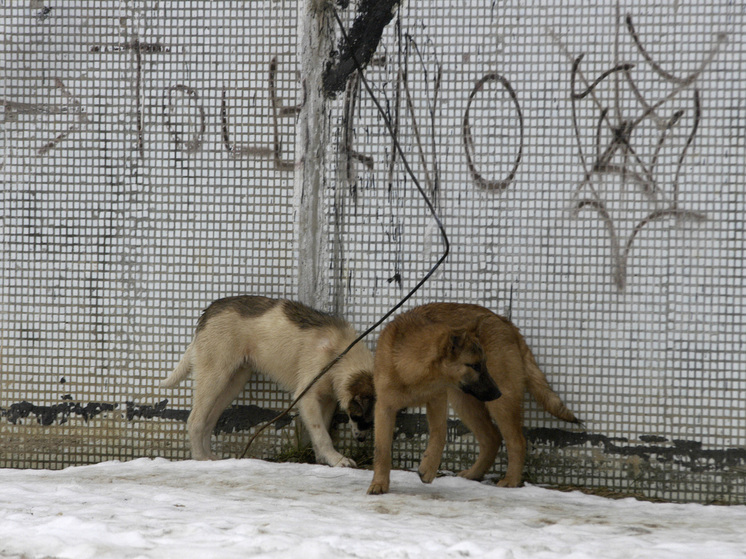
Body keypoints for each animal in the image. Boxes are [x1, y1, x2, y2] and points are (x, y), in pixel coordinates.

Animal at [160, 296, 374, 466]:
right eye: (358, 416)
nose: (361, 440)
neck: (341, 354)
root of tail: (210, 310)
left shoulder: (326, 399)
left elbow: (322, 430)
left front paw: (324, 459)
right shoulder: (307, 396)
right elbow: (322, 434)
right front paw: (337, 460)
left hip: (233, 383)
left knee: (208, 420)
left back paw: (210, 457)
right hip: (215, 377)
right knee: (195, 419)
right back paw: (200, 458)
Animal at [366, 308, 500, 496]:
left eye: (484, 363)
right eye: (475, 366)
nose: (497, 393)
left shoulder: (438, 399)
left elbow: (440, 433)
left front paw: (428, 468)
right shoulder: (384, 408)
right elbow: (382, 450)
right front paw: (379, 483)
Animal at [416, 304, 580, 488]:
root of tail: (505, 322)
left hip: (499, 400)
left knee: (516, 441)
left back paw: (511, 480)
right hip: (465, 401)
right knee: (491, 438)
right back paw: (475, 473)